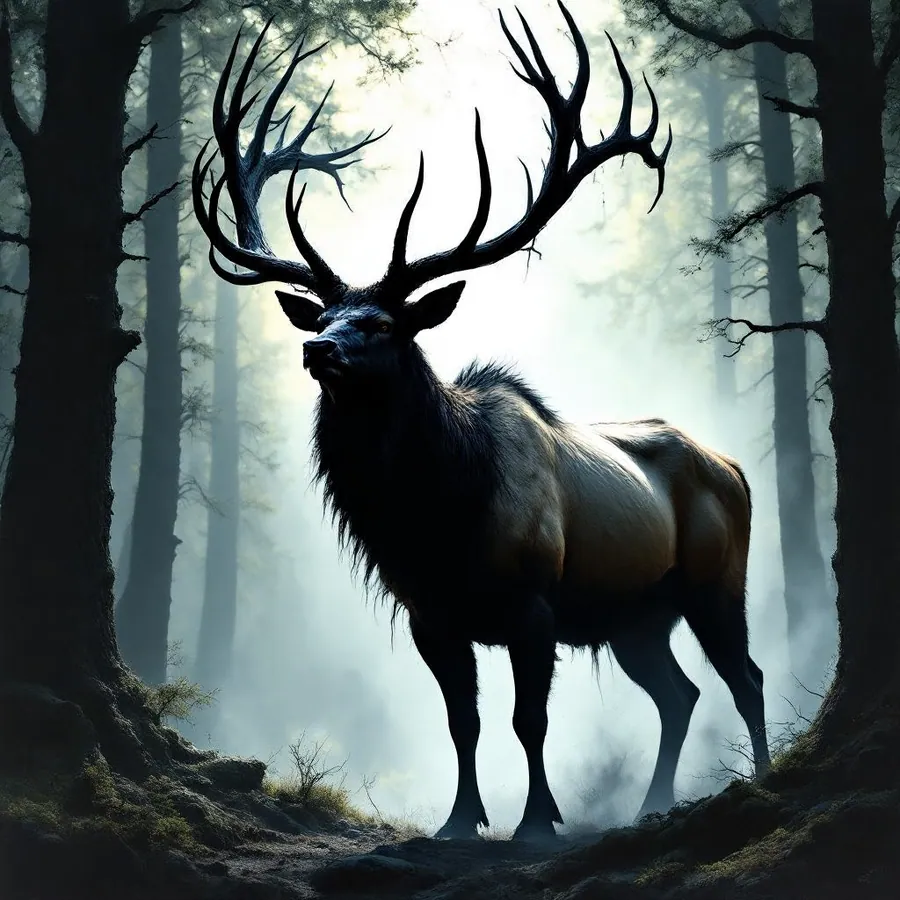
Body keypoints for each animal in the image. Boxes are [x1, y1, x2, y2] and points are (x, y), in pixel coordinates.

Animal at [192, 2, 770, 842]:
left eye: (384, 325)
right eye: (327, 315)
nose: (316, 348)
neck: (437, 521)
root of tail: (737, 470)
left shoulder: (534, 606)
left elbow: (530, 721)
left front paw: (536, 820)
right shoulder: (431, 614)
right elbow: (461, 722)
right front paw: (461, 820)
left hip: (714, 579)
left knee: (745, 676)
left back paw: (760, 777)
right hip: (635, 617)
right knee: (679, 693)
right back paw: (652, 803)